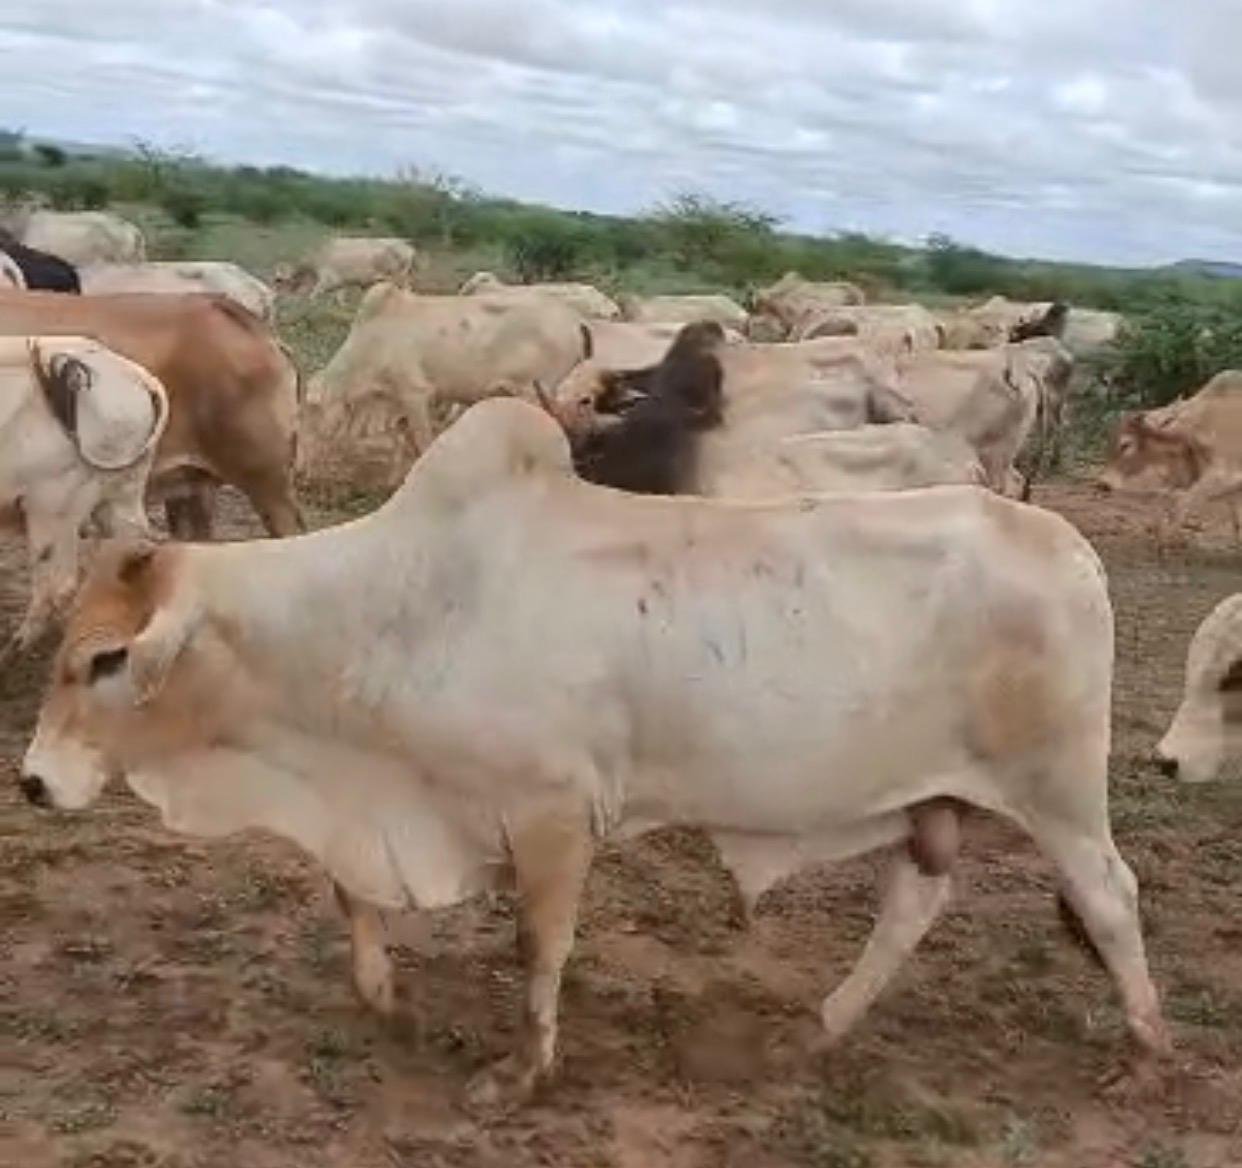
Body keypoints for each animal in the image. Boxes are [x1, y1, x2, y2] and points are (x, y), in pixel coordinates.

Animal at [0, 335, 167, 653]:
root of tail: (142, 379)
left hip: (53, 505)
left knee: (60, 582)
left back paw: (19, 645)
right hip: (119, 496)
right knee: (137, 543)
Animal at [19, 397, 1169, 1105]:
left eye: (108, 659)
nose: (31, 781)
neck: (392, 609)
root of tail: (1064, 544)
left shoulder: (555, 815)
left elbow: (541, 948)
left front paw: (520, 1075)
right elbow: (354, 894)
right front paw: (383, 994)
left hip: (1059, 790)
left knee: (1111, 897)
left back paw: (1147, 1050)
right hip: (939, 802)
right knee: (913, 902)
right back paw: (823, 1028)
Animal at [274, 237, 417, 298]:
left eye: (278, 280)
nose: (275, 295)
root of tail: (407, 246)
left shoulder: (325, 280)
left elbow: (312, 296)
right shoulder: (341, 283)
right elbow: (340, 298)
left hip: (398, 277)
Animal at [302, 283, 592, 484]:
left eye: (308, 413)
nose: (300, 470)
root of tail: (575, 321)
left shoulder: (414, 392)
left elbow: (421, 441)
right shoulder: (396, 400)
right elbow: (402, 440)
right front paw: (391, 482)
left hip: (532, 392)